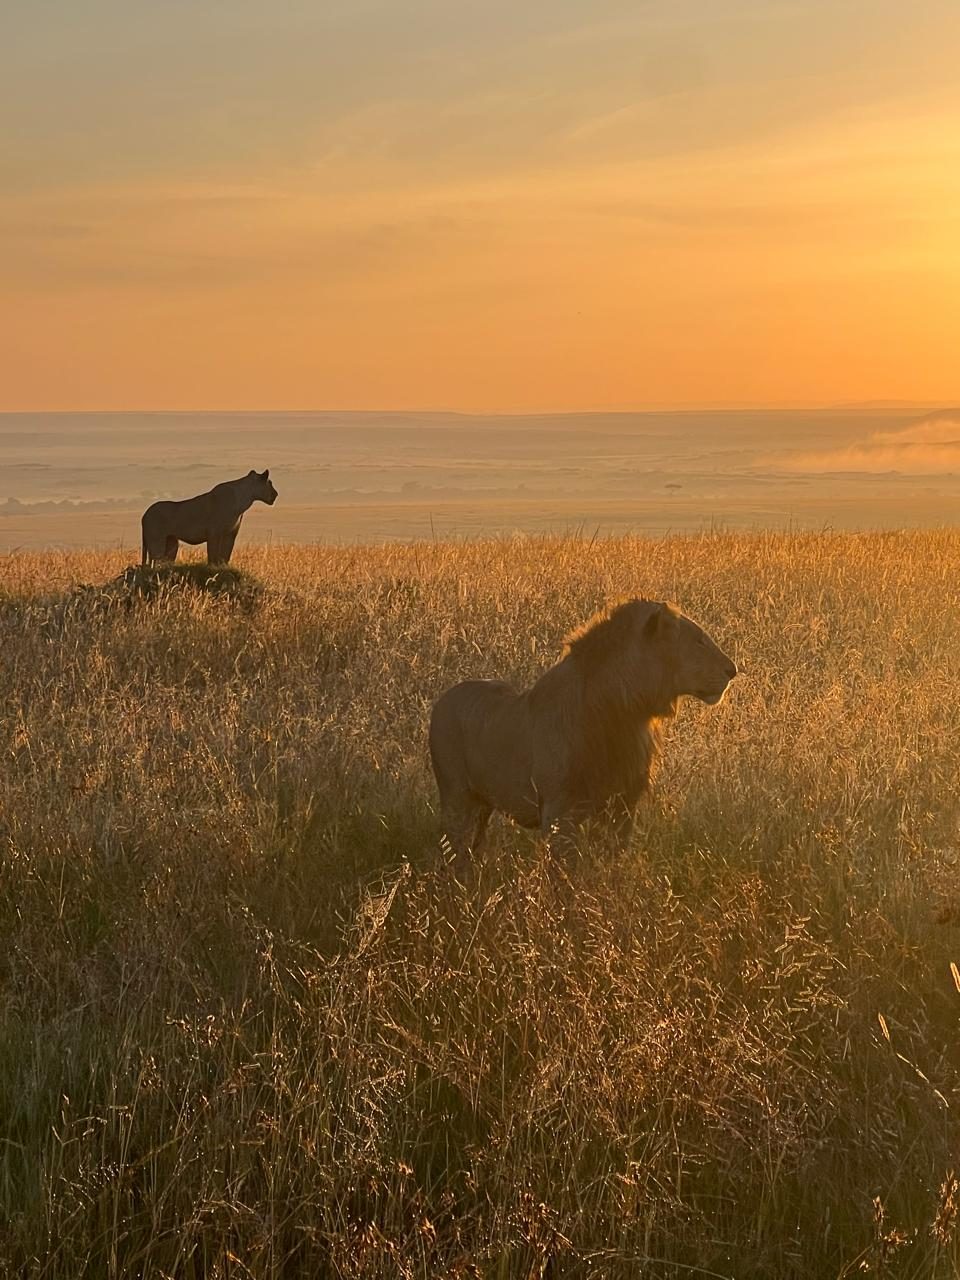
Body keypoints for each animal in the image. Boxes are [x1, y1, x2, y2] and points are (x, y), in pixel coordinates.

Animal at [141, 470, 278, 566]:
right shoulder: (214, 533)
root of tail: (145, 514)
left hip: (172, 543)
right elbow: (213, 555)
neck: (243, 499)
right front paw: (213, 568)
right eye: (269, 483)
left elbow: (225, 555)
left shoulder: (231, 534)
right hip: (156, 541)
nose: (276, 494)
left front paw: (223, 567)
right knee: (155, 562)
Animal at [429, 599, 737, 861]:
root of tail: (442, 700)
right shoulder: (559, 811)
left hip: (482, 806)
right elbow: (564, 875)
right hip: (456, 799)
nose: (732, 670)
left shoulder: (622, 807)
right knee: (453, 855)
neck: (627, 714)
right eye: (698, 641)